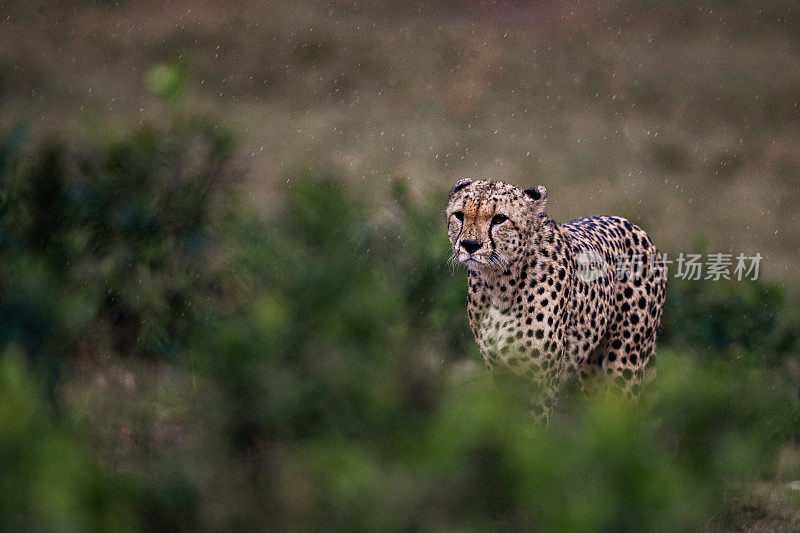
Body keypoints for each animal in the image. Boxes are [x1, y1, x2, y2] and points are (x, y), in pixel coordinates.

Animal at [446, 181, 664, 422]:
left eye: (499, 218)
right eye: (459, 215)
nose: (469, 244)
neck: (499, 282)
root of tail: (632, 226)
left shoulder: (540, 377)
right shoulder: (500, 369)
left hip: (626, 360)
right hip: (593, 367)